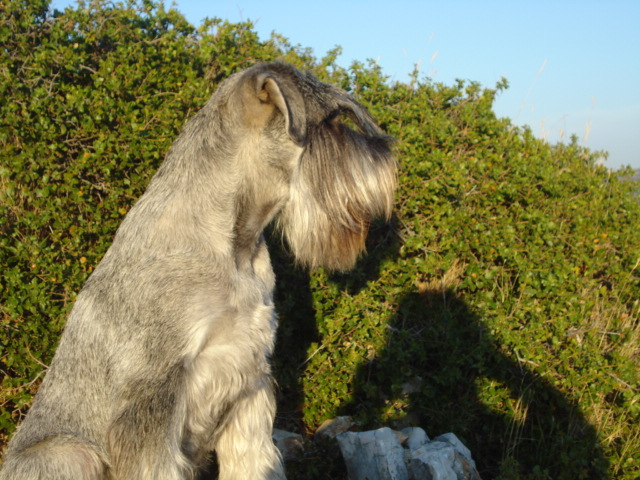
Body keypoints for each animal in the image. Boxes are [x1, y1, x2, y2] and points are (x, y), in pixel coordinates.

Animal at [0, 62, 398, 478]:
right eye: (332, 123)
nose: (390, 158)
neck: (236, 245)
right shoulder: (153, 397)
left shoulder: (250, 380)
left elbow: (254, 460)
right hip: (70, 453)